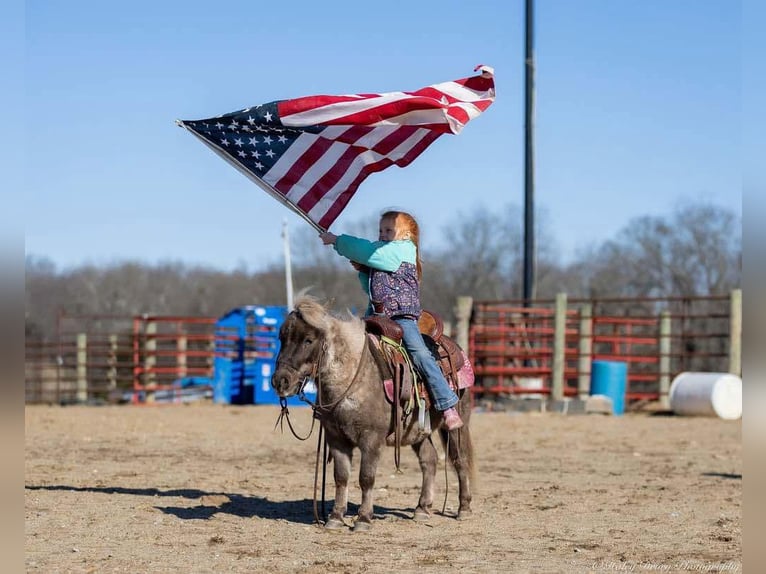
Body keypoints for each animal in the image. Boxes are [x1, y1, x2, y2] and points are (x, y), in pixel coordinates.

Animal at [270, 300, 474, 532]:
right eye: (281, 338)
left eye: (308, 340)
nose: (280, 381)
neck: (353, 377)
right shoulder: (336, 439)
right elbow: (341, 477)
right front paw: (336, 517)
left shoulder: (371, 439)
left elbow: (366, 477)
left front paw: (363, 519)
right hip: (417, 431)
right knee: (429, 460)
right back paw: (422, 509)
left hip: (457, 426)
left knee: (460, 459)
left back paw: (464, 508)